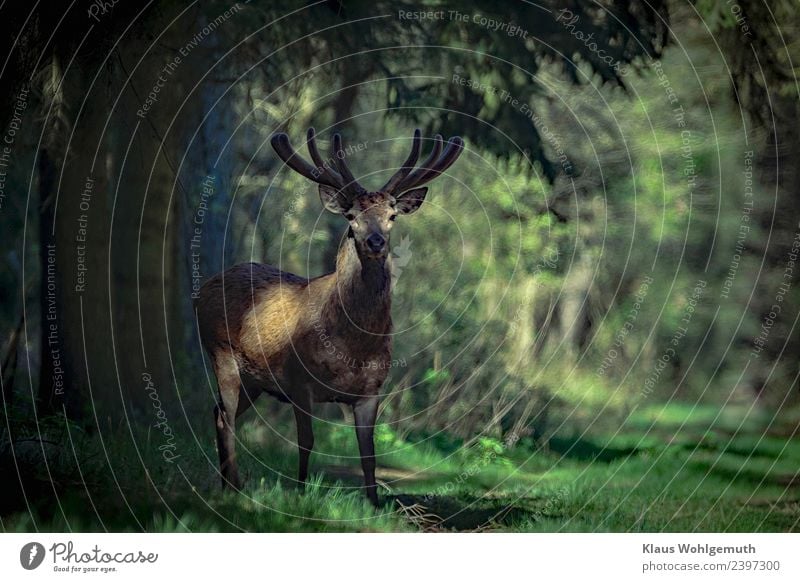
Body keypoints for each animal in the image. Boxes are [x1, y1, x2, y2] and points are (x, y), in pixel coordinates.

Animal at [195, 126, 466, 506]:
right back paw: (234, 487)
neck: (354, 346)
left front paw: (374, 504)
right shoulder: (298, 380)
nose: (376, 241)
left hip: (255, 381)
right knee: (227, 417)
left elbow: (369, 454)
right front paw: (299, 493)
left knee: (217, 412)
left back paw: (227, 484)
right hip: (221, 354)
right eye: (351, 217)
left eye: (392, 215)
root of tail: (202, 290)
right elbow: (306, 442)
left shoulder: (371, 390)